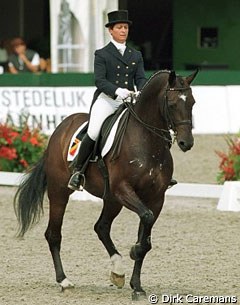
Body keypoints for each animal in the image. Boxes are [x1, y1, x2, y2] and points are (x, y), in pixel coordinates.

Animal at [14, 69, 199, 300]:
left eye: (192, 102)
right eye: (172, 103)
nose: (186, 143)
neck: (147, 141)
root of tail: (61, 128)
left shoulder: (156, 198)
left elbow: (145, 237)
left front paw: (137, 285)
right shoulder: (123, 189)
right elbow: (145, 224)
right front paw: (133, 252)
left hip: (111, 199)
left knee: (101, 227)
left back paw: (117, 272)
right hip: (60, 192)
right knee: (54, 235)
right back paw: (64, 281)